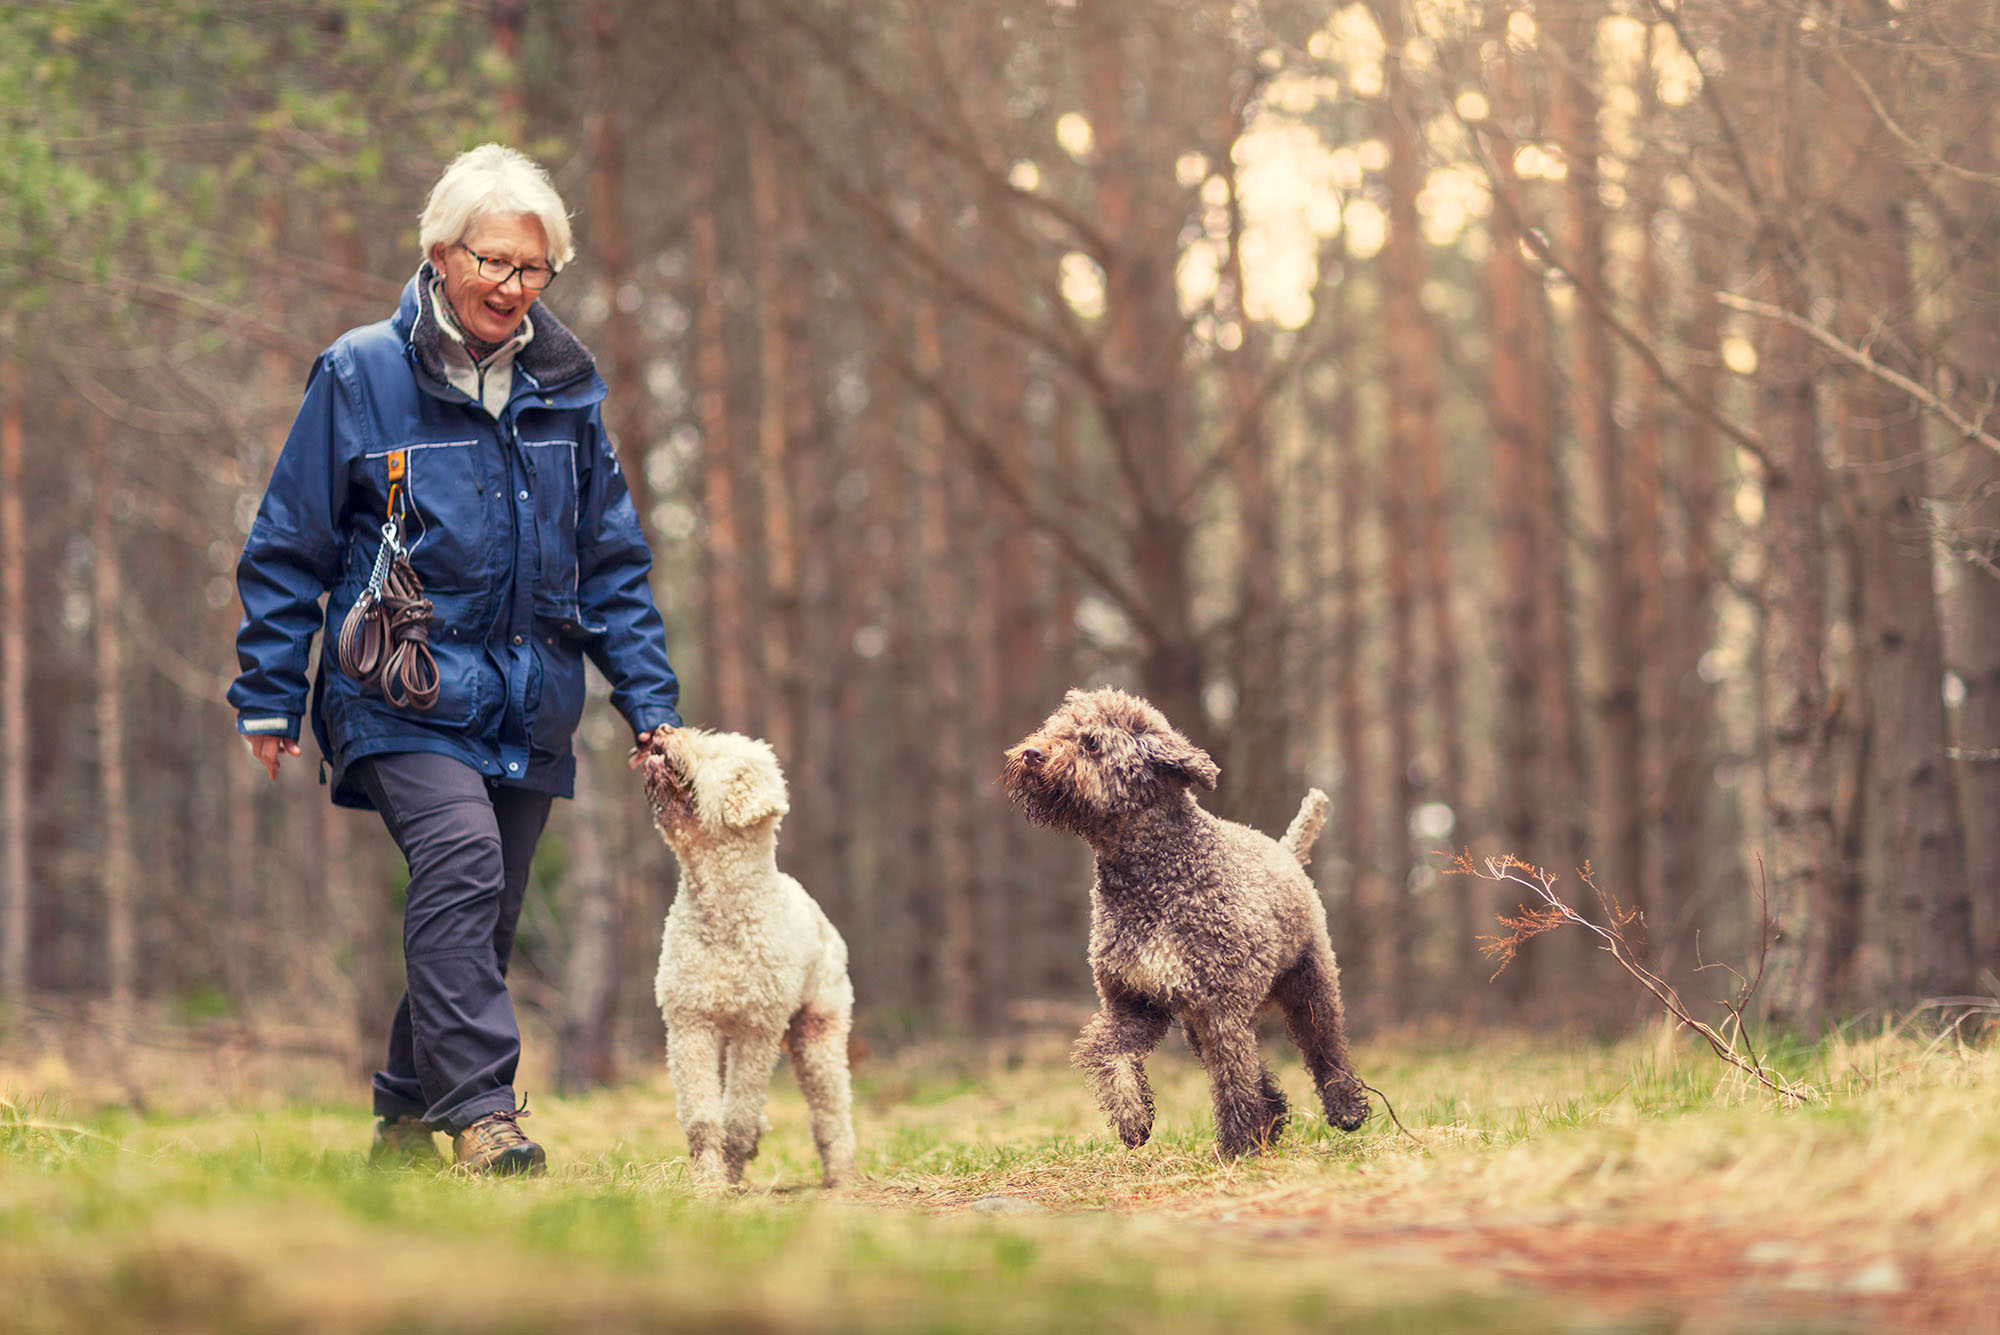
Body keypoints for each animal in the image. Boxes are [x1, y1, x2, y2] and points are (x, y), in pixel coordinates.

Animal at [644, 731, 856, 1191]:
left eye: (714, 752)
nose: (663, 731)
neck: (722, 913)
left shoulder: (757, 1030)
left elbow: (737, 1117)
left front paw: (731, 1171)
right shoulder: (691, 1024)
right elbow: (704, 1118)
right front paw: (709, 1181)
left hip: (819, 1031)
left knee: (831, 1107)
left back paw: (841, 1174)